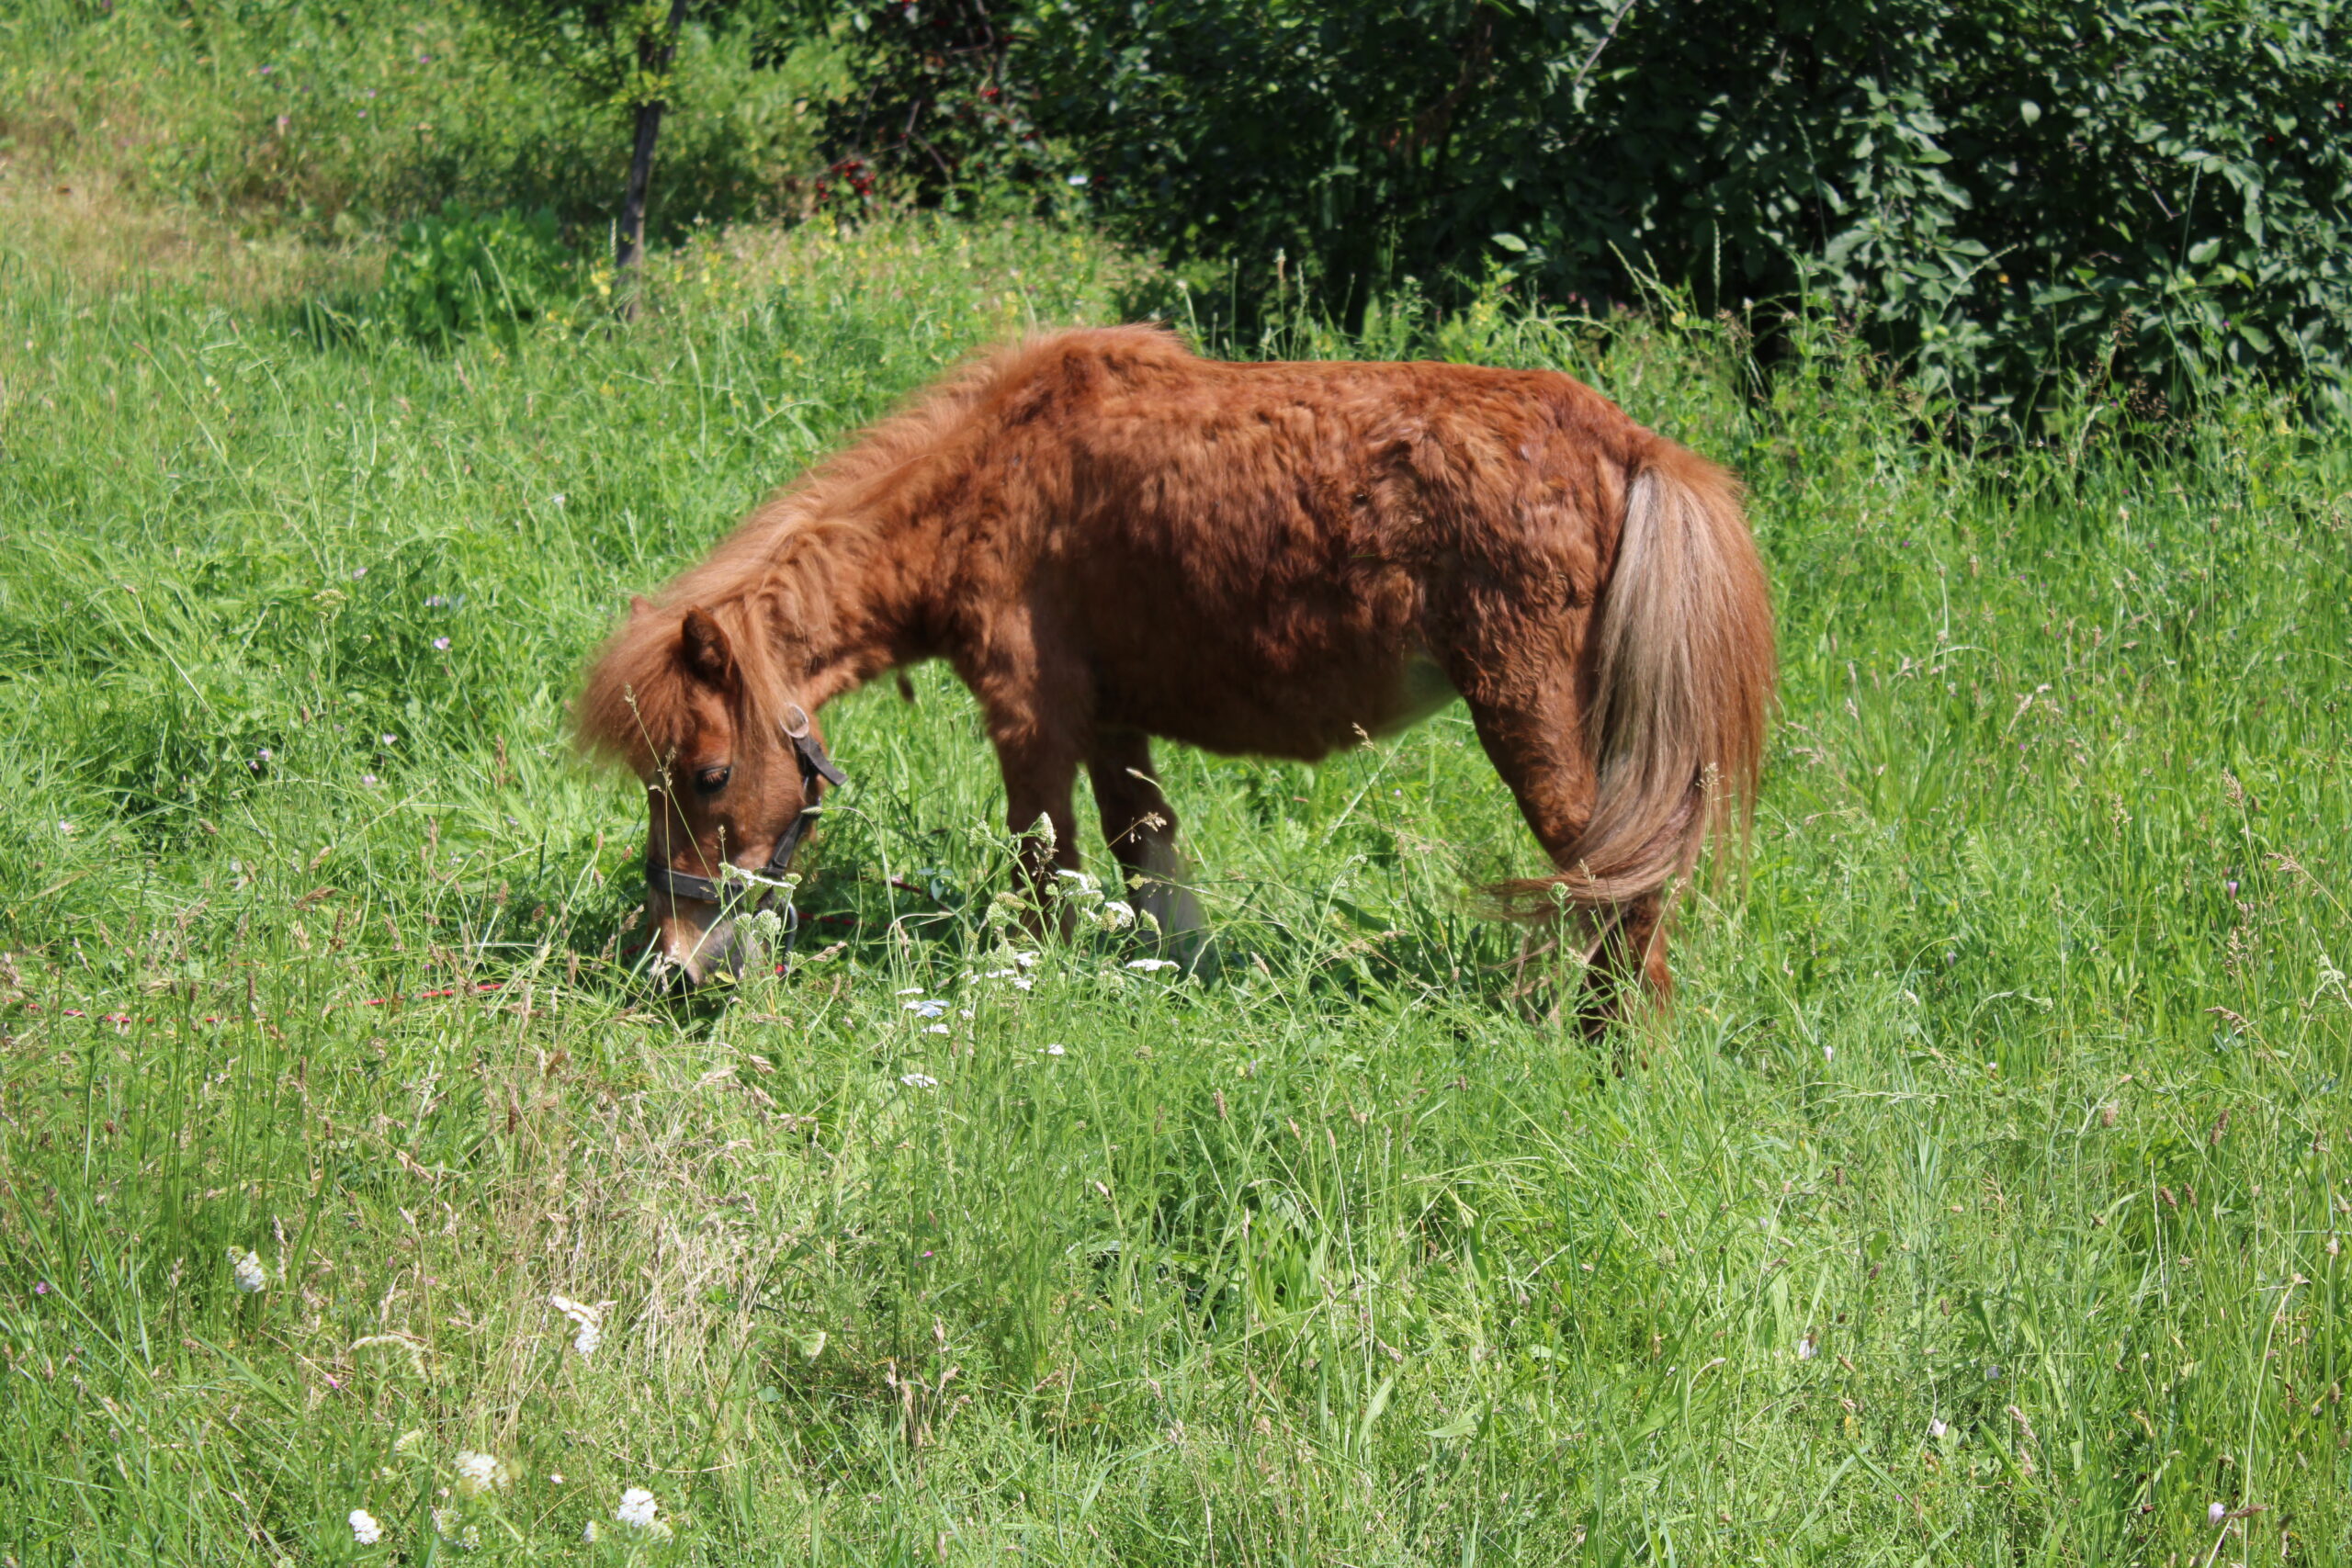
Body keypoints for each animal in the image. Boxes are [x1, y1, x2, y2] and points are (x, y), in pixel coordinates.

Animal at [578, 324, 1769, 1024]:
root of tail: (1624, 442)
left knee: (1621, 884)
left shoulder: (1030, 722)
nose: (674, 967)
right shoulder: (1114, 725)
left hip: (1526, 717)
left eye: (706, 776)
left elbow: (1041, 870)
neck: (990, 479)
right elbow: (1143, 857)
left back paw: (1617, 1047)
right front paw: (1171, 979)